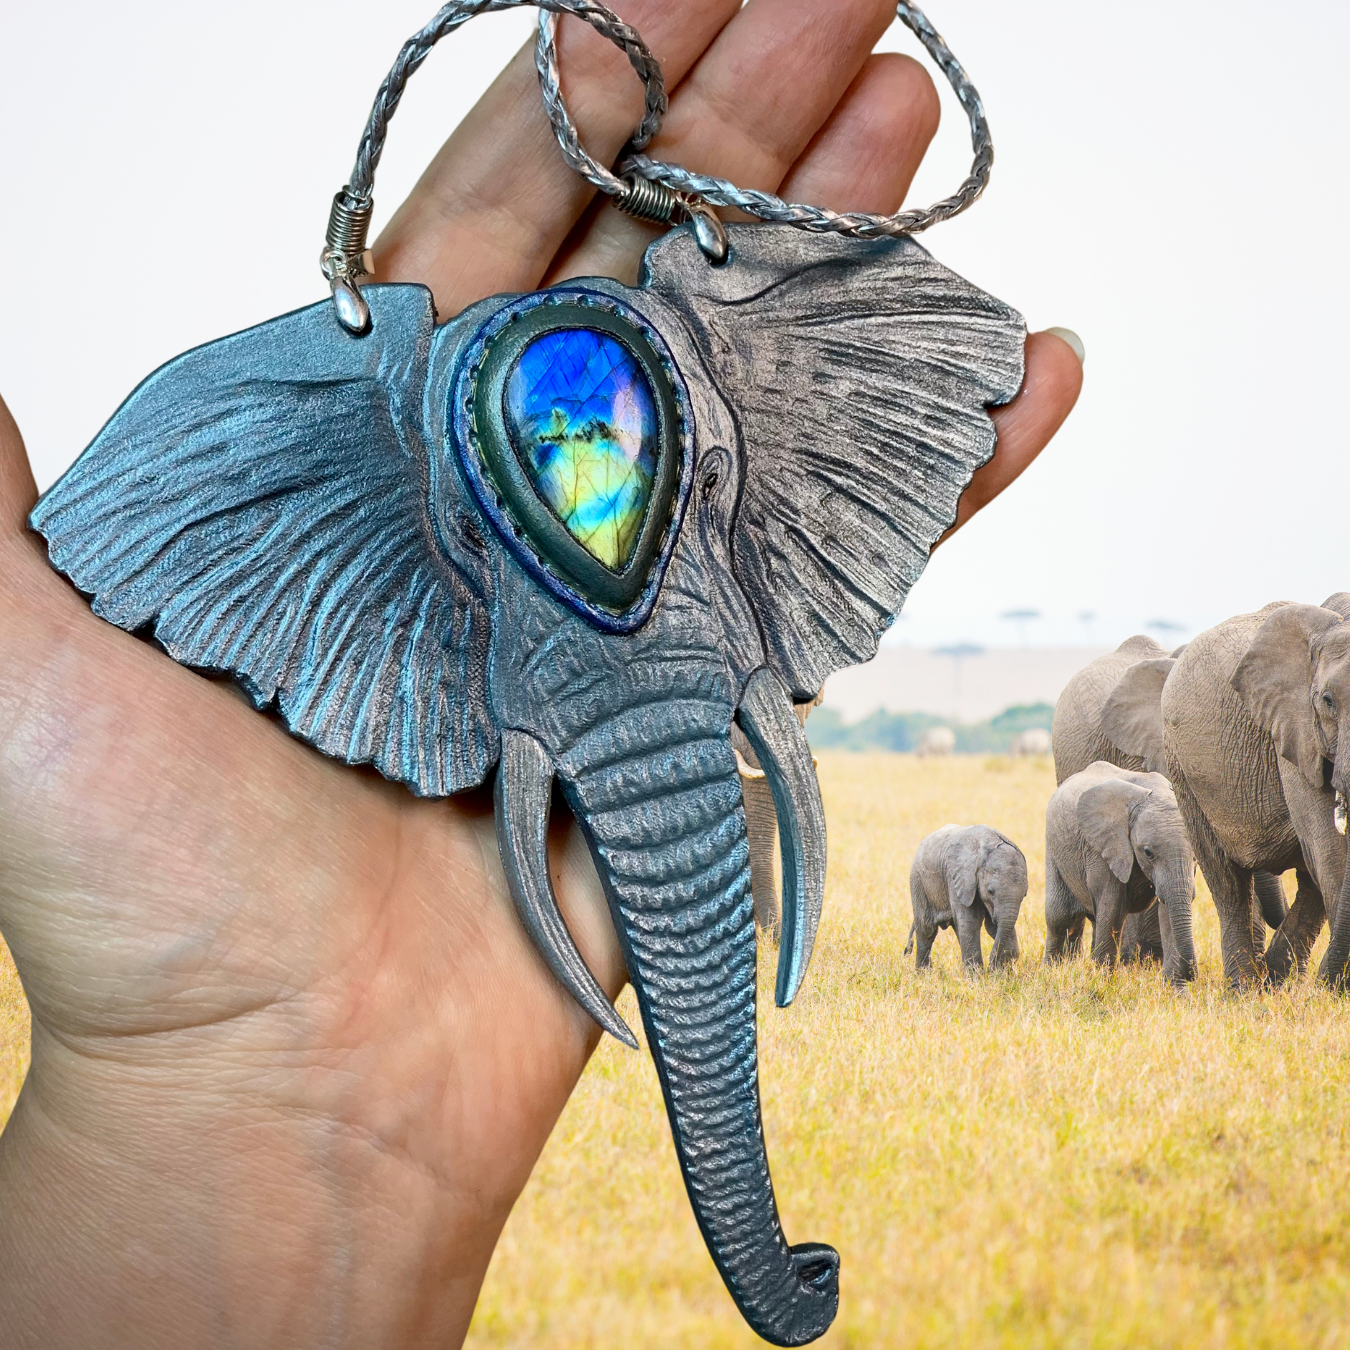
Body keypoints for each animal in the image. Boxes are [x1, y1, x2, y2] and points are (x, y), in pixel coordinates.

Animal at [903, 825, 1028, 970]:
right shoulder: (958, 878)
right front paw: (977, 975)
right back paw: (923, 973)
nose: (991, 965)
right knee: (926, 928)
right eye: (990, 891)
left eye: (1024, 895)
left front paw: (1000, 971)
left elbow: (992, 926)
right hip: (918, 881)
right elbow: (970, 922)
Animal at [1043, 761, 1198, 984]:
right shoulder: (1102, 848)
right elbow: (1112, 909)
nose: (1192, 974)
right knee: (1060, 916)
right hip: (1054, 847)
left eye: (1197, 856)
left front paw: (1176, 990)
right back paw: (1050, 971)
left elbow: (1167, 911)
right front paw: (1102, 985)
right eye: (1148, 852)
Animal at [1162, 595, 1350, 988]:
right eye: (1327, 700)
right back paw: (1245, 990)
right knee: (1228, 883)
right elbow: (1331, 851)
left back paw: (1275, 979)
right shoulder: (1293, 733)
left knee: (1307, 881)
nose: (1330, 983)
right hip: (1182, 769)